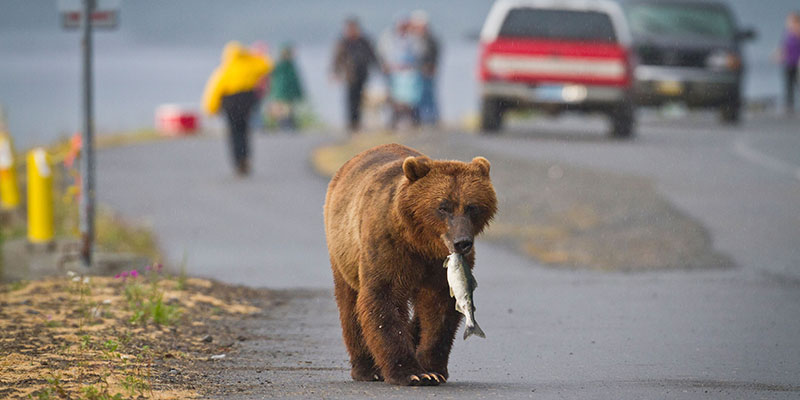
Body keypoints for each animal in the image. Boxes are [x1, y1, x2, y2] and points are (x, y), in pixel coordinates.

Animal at [322, 143, 496, 384]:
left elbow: (440, 308)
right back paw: (366, 368)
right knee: (350, 305)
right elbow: (384, 300)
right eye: (443, 206)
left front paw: (433, 368)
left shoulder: (437, 269)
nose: (462, 242)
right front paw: (411, 372)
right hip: (343, 251)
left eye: (472, 206)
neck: (422, 244)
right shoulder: (389, 245)